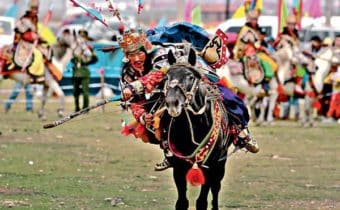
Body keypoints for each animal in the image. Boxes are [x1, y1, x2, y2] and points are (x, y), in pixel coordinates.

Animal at [159, 50, 234, 210]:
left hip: (221, 162)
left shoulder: (209, 164)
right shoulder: (178, 165)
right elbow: (182, 202)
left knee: (216, 187)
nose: (172, 103)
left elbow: (202, 201)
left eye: (190, 77)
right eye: (167, 77)